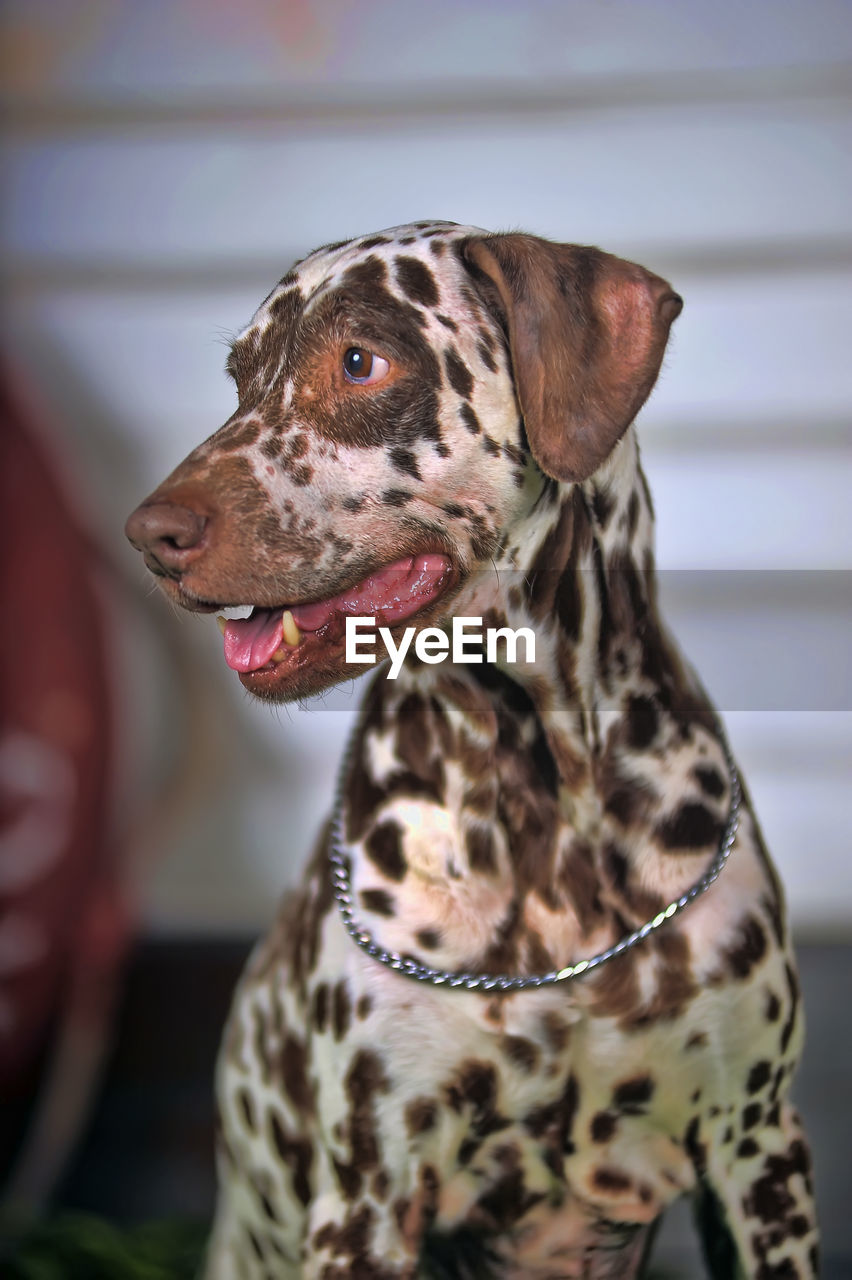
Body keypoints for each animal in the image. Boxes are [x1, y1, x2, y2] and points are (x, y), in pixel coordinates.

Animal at [126, 222, 818, 1280]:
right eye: (241, 377)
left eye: (359, 362)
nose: (148, 535)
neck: (547, 800)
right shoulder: (368, 1197)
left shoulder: (761, 1158)